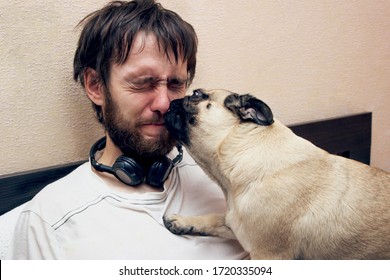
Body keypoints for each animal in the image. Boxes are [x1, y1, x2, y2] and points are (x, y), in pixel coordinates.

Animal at [163, 88, 390, 260]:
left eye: (196, 94)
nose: (172, 102)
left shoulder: (267, 254)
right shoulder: (235, 225)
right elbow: (213, 218)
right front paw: (183, 222)